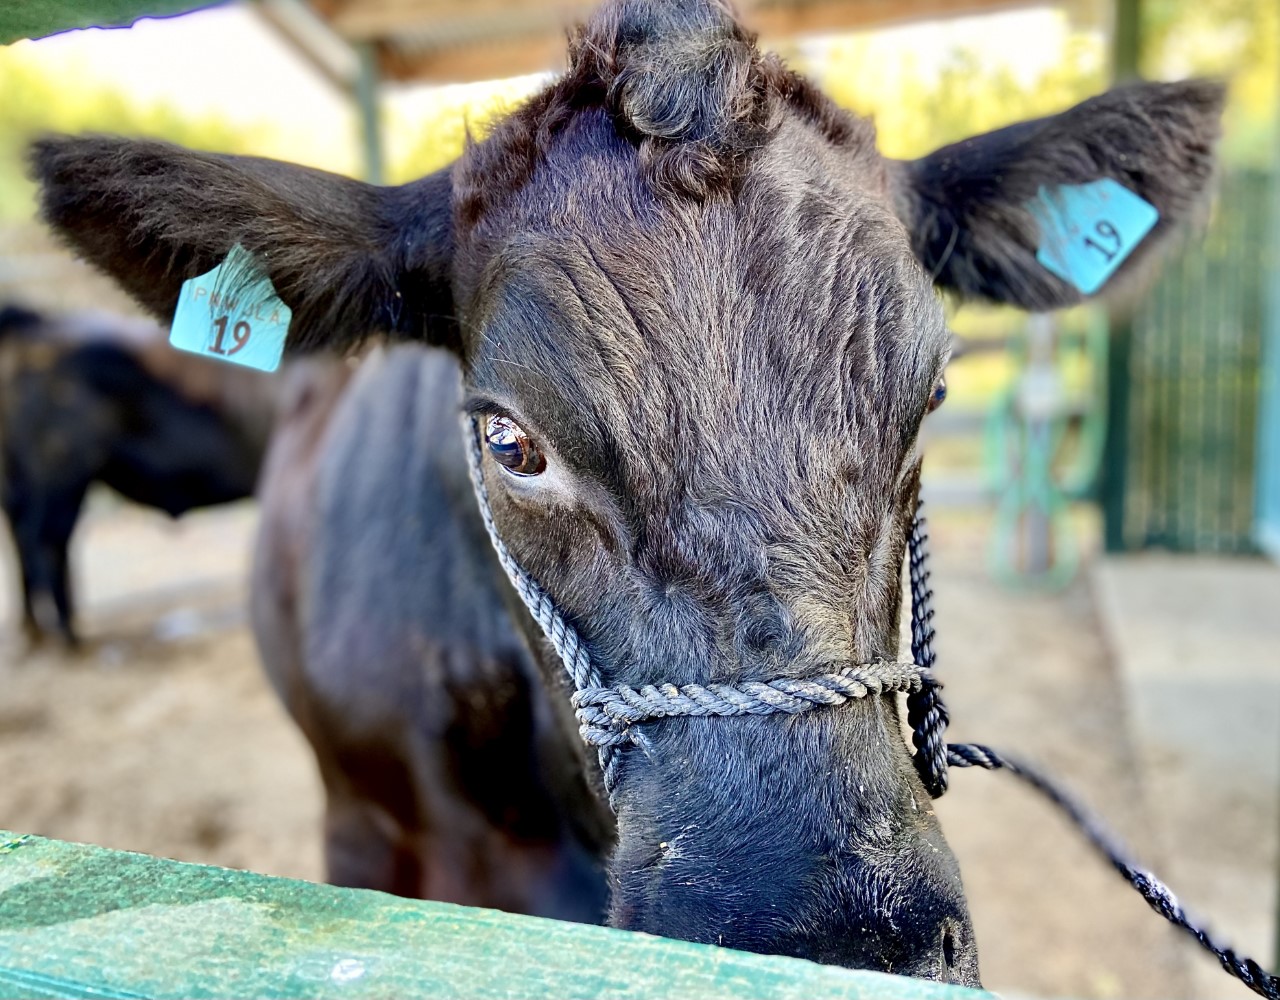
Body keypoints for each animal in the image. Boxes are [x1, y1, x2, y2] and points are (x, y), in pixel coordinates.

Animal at [0, 303, 275, 645]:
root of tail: (38, 324)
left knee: (25, 539)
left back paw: (37, 629)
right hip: (63, 474)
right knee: (47, 539)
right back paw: (69, 636)